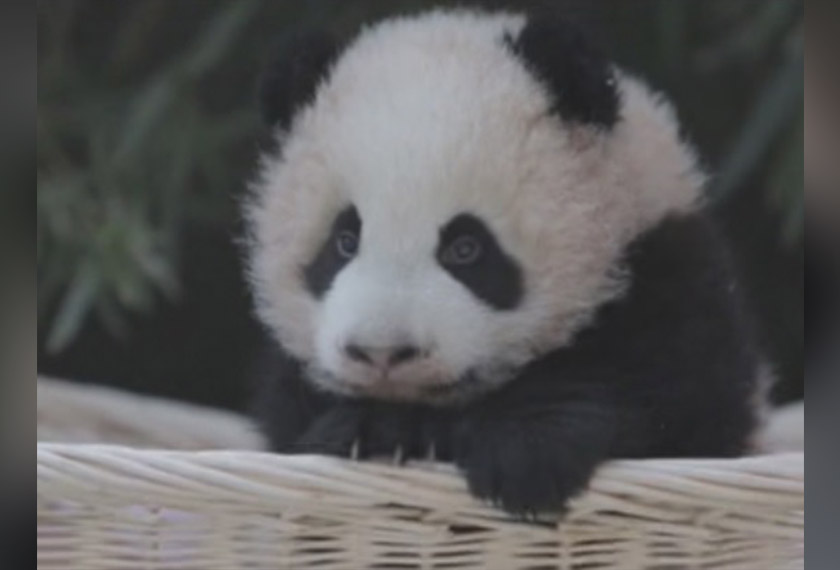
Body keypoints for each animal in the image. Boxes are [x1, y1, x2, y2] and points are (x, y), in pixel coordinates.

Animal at [244, 8, 769, 515]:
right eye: (345, 241)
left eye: (466, 248)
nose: (381, 353)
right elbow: (291, 415)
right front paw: (372, 429)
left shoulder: (669, 267)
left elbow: (669, 393)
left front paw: (524, 451)